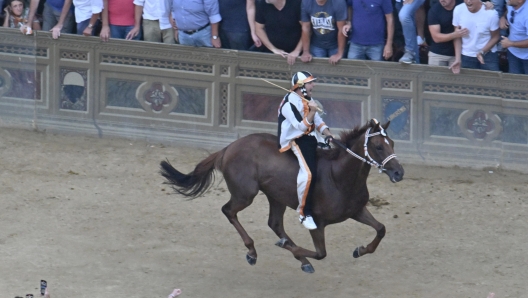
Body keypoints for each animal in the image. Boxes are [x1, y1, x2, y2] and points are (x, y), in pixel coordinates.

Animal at [161, 118, 404, 272]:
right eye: (378, 146)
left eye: (392, 143)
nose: (399, 172)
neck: (338, 176)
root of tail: (228, 148)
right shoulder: (317, 222)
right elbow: (321, 253)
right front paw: (290, 249)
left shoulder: (357, 210)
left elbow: (381, 229)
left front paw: (360, 250)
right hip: (245, 194)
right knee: (228, 211)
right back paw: (253, 251)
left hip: (275, 197)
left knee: (274, 223)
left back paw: (296, 257)